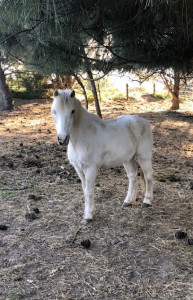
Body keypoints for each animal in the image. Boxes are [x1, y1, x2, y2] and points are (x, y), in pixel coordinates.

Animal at [51, 89, 152, 223]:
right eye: (54, 111)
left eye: (72, 111)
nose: (62, 139)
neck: (81, 138)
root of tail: (144, 122)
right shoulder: (78, 168)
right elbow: (85, 190)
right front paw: (88, 212)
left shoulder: (91, 168)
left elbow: (89, 191)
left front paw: (88, 215)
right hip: (128, 159)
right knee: (133, 177)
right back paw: (128, 201)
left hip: (144, 156)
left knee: (148, 176)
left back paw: (147, 201)